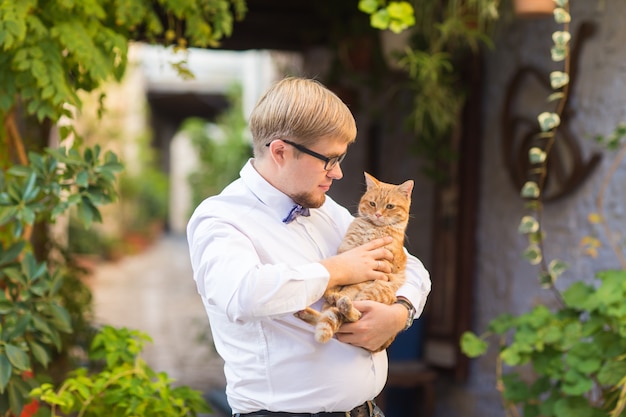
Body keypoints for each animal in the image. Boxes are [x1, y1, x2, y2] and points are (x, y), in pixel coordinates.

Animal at [294, 171, 412, 352]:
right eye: (372, 203)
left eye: (390, 206)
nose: (378, 214)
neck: (372, 228)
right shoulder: (346, 253)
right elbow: (337, 279)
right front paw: (331, 292)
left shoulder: (375, 270)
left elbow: (351, 287)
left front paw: (341, 294)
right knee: (330, 317)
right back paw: (309, 312)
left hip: (377, 290)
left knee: (353, 316)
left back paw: (345, 305)